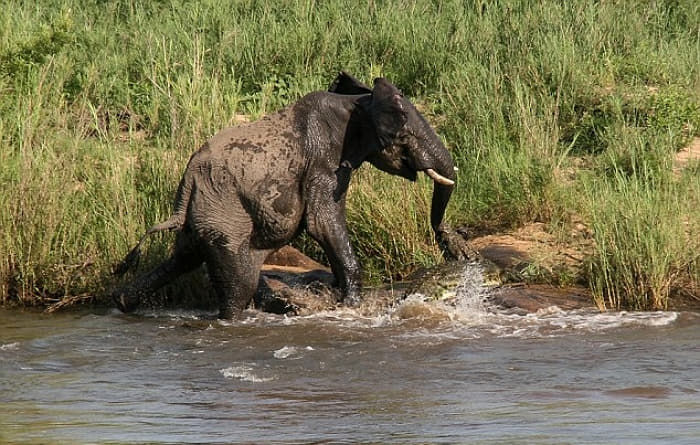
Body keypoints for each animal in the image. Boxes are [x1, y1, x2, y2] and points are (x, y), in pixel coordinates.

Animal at [112, 71, 462, 318]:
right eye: (405, 136)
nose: (451, 242)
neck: (355, 104)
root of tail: (186, 184)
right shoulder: (321, 163)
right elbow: (323, 223)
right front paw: (350, 304)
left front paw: (336, 296)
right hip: (224, 213)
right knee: (237, 286)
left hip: (205, 213)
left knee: (183, 258)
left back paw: (123, 303)